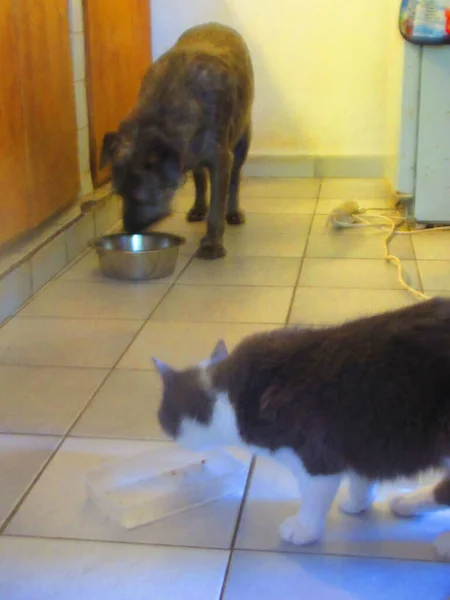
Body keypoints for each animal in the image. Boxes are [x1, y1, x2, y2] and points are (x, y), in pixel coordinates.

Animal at [101, 23, 253, 258]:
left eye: (141, 197)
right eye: (119, 194)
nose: (129, 229)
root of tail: (216, 24)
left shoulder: (221, 159)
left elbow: (218, 205)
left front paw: (212, 244)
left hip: (242, 141)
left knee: (235, 178)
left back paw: (233, 211)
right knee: (199, 178)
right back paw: (198, 207)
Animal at [153, 298, 448, 560]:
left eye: (163, 415)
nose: (167, 433)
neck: (230, 397)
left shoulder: (317, 455)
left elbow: (314, 495)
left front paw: (304, 529)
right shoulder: (361, 438)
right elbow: (361, 475)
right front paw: (358, 502)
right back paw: (407, 503)